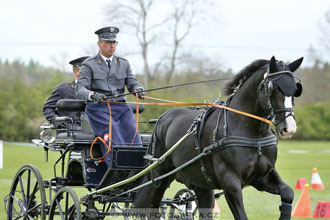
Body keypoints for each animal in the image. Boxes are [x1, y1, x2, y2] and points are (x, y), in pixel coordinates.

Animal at [133, 55, 302, 219]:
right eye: (274, 88)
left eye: (296, 89)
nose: (289, 128)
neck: (254, 137)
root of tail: (163, 118)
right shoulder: (230, 183)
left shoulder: (262, 176)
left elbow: (288, 192)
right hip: (159, 177)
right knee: (153, 206)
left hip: (201, 183)